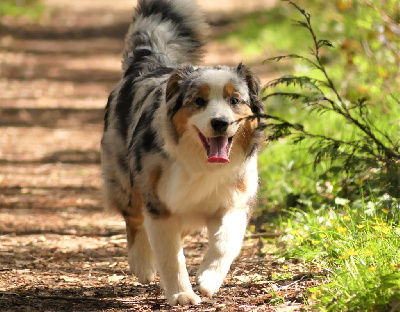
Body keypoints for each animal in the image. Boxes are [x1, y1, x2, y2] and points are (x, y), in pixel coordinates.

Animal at [100, 0, 264, 308]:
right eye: (199, 101)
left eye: (235, 100)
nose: (220, 122)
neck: (201, 164)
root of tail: (148, 61)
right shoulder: (159, 203)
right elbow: (170, 256)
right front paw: (181, 294)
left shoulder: (235, 200)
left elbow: (226, 242)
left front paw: (209, 278)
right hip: (124, 178)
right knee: (134, 219)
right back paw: (142, 263)